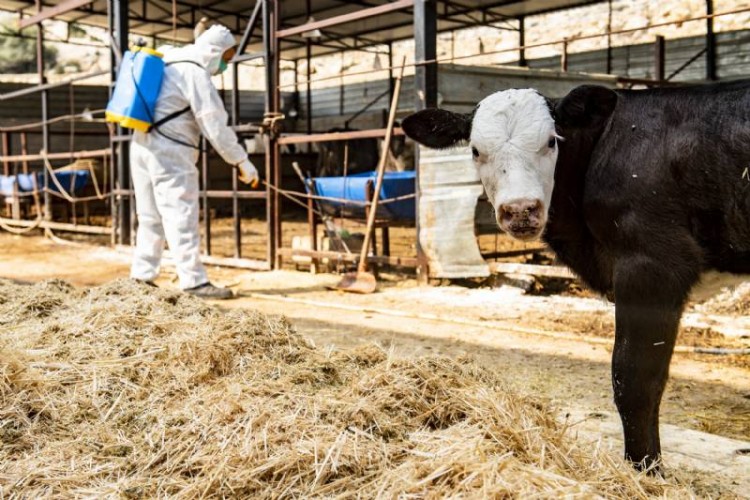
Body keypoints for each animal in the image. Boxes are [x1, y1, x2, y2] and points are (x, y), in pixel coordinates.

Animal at [406, 82, 750, 468]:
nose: (521, 209)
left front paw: (644, 469)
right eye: (476, 150)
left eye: (551, 141)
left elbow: (634, 380)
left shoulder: (653, 263)